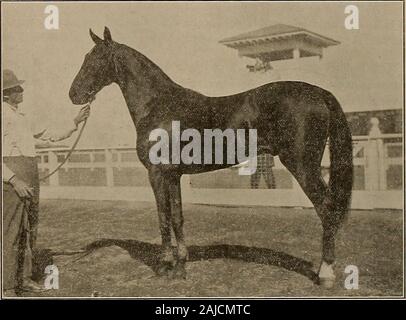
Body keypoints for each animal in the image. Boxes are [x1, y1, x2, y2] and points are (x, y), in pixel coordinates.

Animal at [69, 27, 352, 288]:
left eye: (95, 59)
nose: (74, 94)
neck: (159, 105)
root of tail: (319, 93)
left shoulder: (157, 173)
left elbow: (162, 217)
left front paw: (164, 267)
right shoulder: (173, 175)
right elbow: (177, 218)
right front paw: (180, 267)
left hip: (303, 165)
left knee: (327, 209)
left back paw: (326, 273)